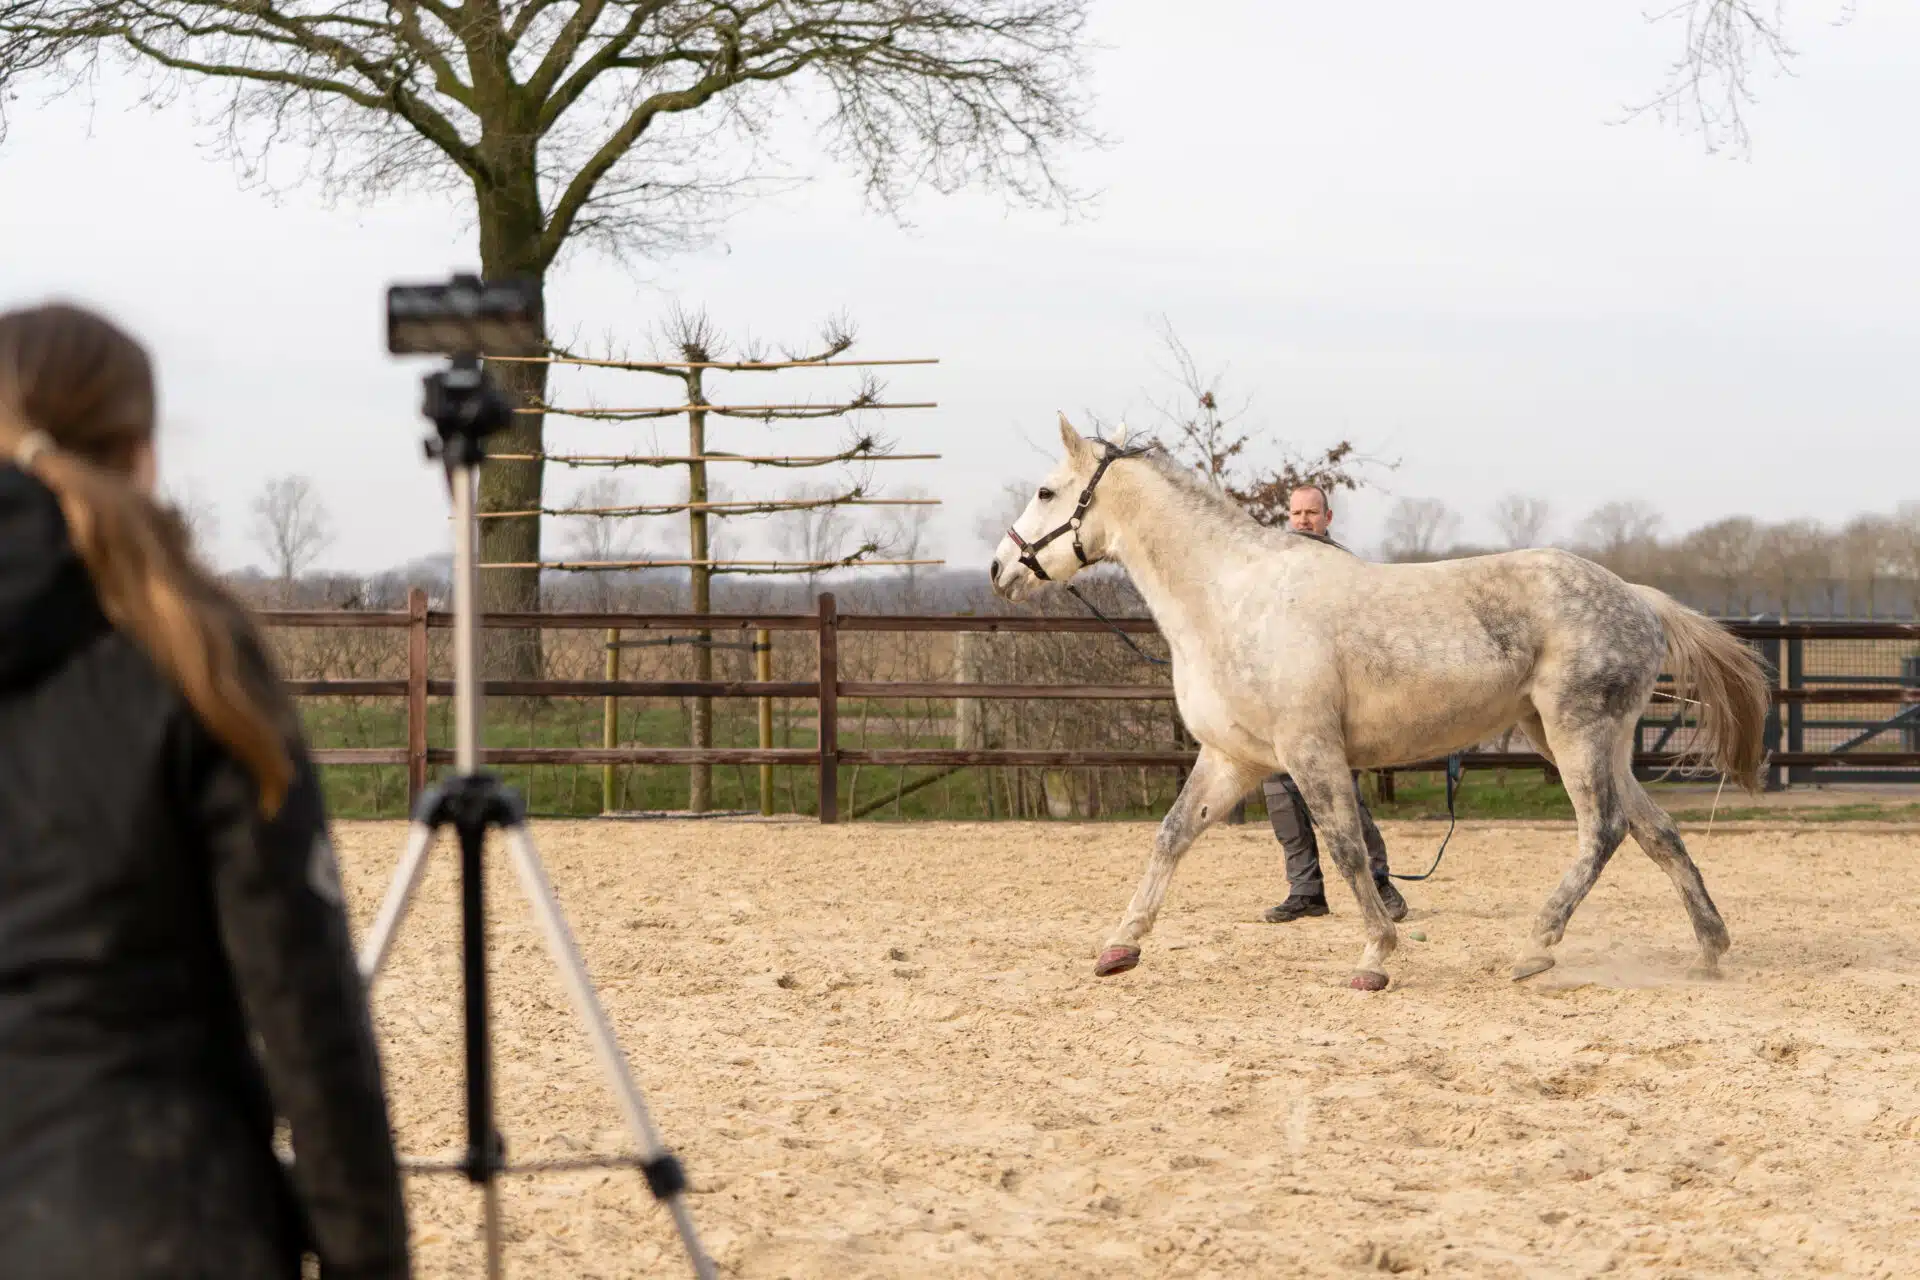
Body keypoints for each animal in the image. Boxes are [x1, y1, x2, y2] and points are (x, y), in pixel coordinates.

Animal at [989, 416, 1771, 992]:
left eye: (1047, 492)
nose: (1000, 568)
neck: (1231, 598)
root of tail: (1637, 598)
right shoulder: (1234, 758)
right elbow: (1172, 836)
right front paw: (1119, 947)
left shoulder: (1310, 752)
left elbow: (1346, 848)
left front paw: (1375, 956)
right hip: (1582, 739)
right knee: (1656, 832)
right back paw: (1710, 949)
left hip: (1577, 733)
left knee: (1602, 831)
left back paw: (1535, 947)